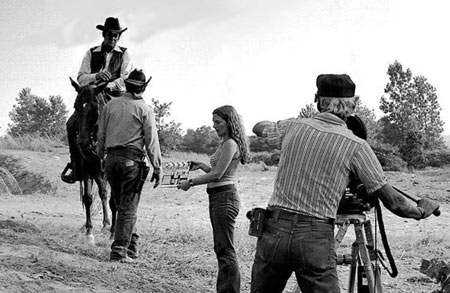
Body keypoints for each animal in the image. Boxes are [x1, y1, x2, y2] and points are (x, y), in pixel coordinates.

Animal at [69, 77, 116, 242]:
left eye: (95, 107)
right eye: (76, 106)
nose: (82, 143)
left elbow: (114, 201)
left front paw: (113, 234)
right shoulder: (87, 169)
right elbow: (88, 198)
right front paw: (89, 232)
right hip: (97, 172)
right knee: (103, 193)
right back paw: (105, 223)